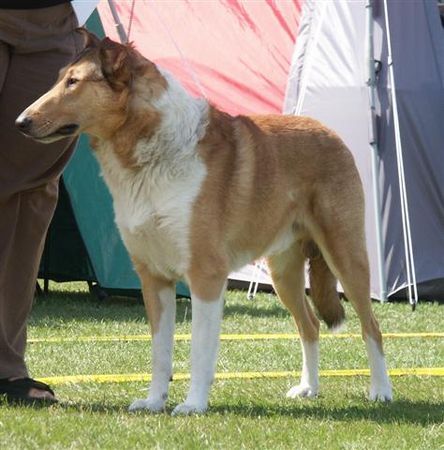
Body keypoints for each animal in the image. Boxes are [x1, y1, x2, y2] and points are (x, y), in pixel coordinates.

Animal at [16, 29, 392, 414]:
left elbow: (199, 349)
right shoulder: (153, 278)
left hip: (345, 255)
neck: (150, 155)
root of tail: (328, 131)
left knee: (372, 326)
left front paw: (193, 404)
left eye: (73, 82)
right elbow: (160, 351)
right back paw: (309, 388)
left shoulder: (205, 275)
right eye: (60, 78)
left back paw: (380, 391)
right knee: (310, 325)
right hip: (284, 273)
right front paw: (154, 401)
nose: (21, 122)